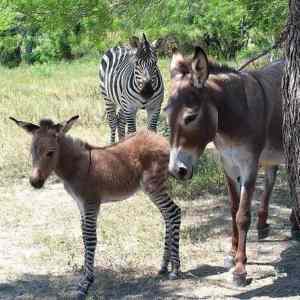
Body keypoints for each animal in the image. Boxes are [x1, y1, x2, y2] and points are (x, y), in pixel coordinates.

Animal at [11, 116, 180, 296]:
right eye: (32, 152)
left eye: (50, 152)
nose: (34, 183)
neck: (75, 167)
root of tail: (160, 138)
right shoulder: (81, 205)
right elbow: (84, 238)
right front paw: (84, 277)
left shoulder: (91, 204)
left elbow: (91, 239)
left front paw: (86, 283)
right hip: (153, 189)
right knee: (167, 217)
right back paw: (164, 267)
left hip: (154, 186)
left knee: (174, 212)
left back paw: (176, 269)